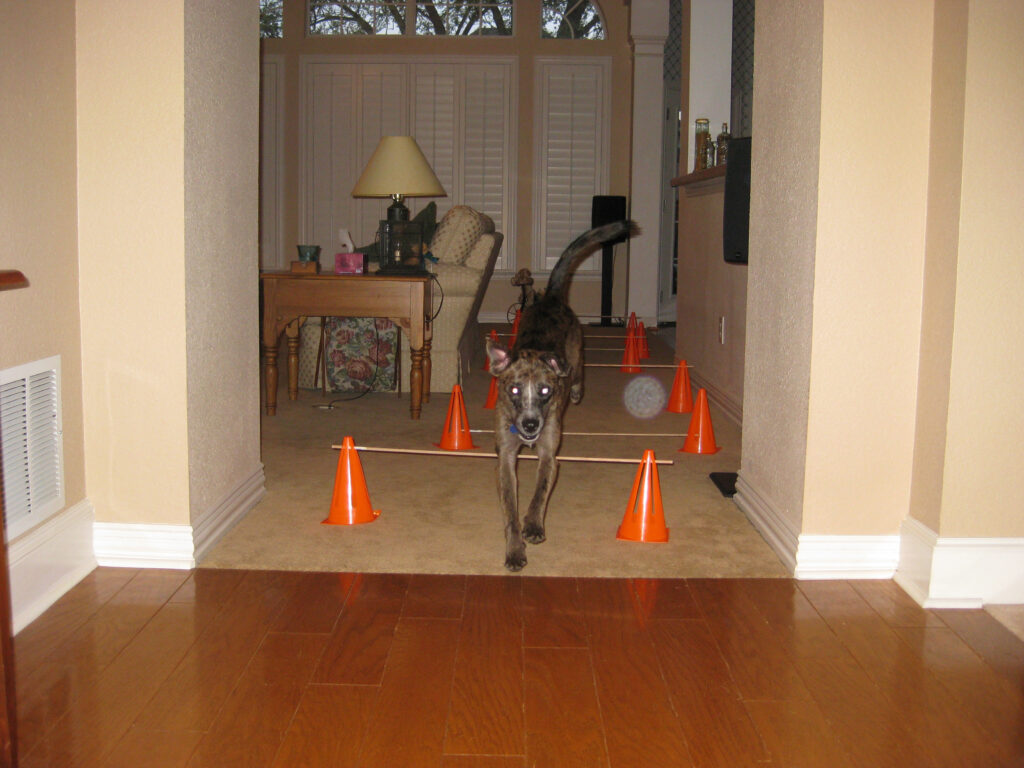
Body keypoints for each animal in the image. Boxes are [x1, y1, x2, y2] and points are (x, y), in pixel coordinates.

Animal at [487, 219, 638, 569]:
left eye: (545, 390)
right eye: (514, 389)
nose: (530, 425)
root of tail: (551, 298)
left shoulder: (548, 453)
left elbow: (540, 491)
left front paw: (533, 525)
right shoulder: (505, 458)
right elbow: (510, 508)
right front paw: (514, 548)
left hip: (576, 348)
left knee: (578, 367)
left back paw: (578, 388)